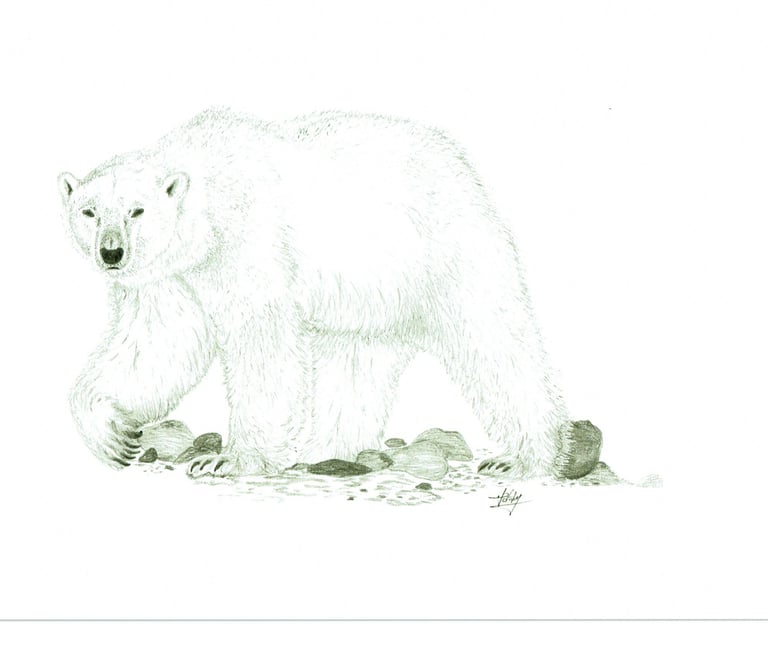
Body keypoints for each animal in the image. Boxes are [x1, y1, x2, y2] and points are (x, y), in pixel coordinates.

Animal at [58, 107, 573, 480]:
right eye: (89, 211)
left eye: (137, 211)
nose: (111, 253)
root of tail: (460, 164)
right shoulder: (172, 277)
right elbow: (157, 343)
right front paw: (110, 433)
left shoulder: (251, 241)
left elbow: (262, 341)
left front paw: (230, 459)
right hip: (370, 297)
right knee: (355, 363)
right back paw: (326, 450)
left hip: (446, 249)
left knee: (494, 342)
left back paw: (525, 458)